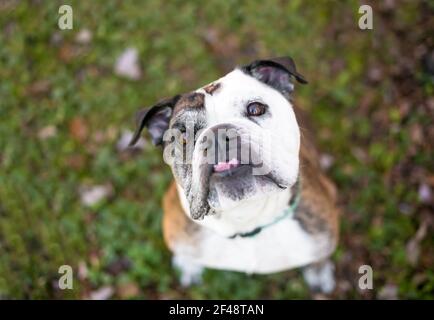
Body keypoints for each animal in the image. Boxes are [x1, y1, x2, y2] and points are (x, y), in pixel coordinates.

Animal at [128, 57, 340, 292]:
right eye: (182, 136)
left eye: (256, 108)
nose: (218, 134)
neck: (245, 217)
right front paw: (188, 265)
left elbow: (319, 257)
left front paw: (319, 272)